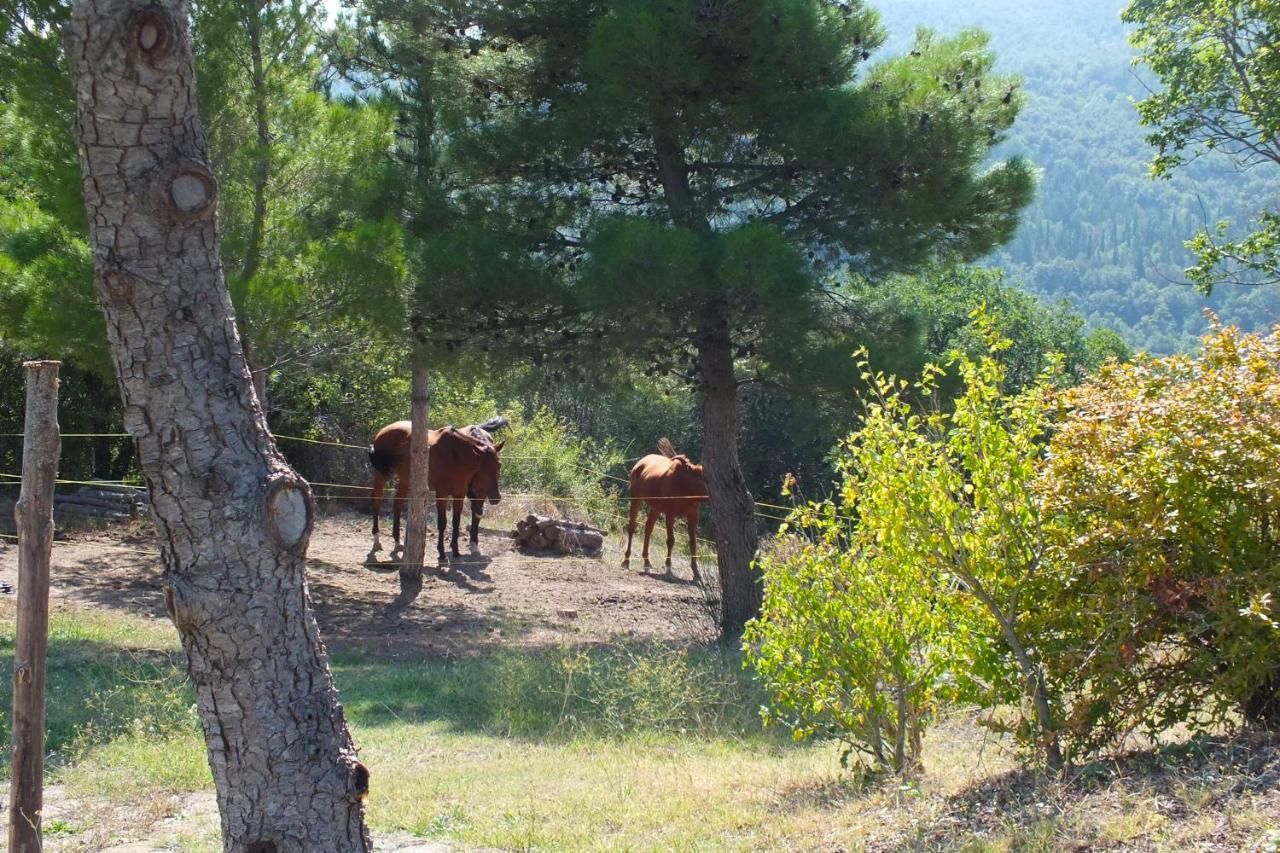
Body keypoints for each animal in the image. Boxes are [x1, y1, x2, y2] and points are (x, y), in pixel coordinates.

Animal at [366, 414, 504, 555]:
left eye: (499, 465)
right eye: (481, 468)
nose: (496, 498)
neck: (455, 455)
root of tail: (382, 431)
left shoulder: (459, 494)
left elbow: (456, 522)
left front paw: (455, 551)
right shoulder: (442, 493)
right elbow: (442, 522)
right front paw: (441, 553)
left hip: (405, 479)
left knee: (397, 502)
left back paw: (397, 542)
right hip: (381, 474)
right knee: (377, 500)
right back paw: (376, 539)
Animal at [622, 438, 711, 578]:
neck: (685, 487)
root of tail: (640, 463)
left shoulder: (693, 515)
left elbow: (693, 543)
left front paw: (696, 573)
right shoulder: (670, 515)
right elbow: (670, 541)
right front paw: (668, 567)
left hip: (656, 508)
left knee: (648, 528)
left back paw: (646, 563)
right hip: (636, 500)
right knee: (631, 527)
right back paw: (626, 561)